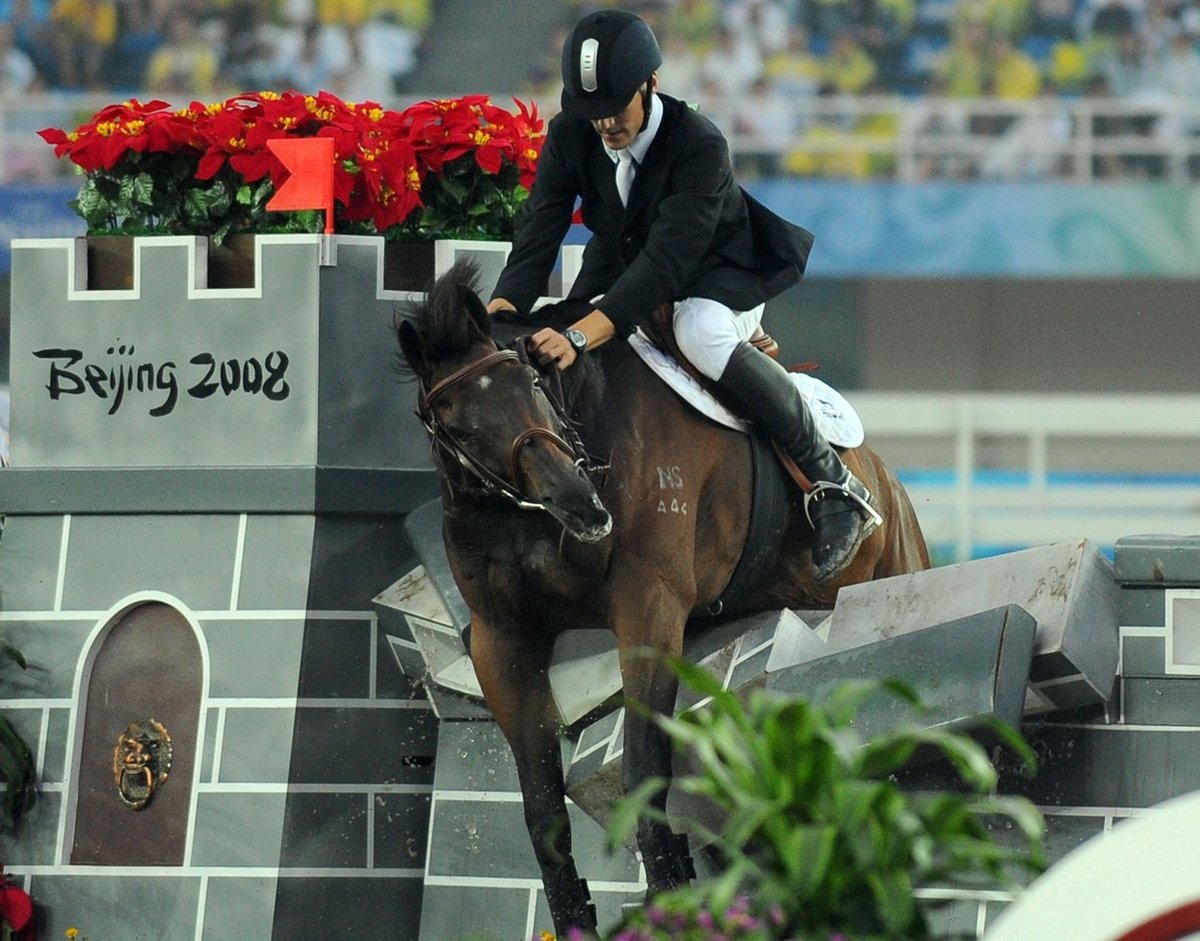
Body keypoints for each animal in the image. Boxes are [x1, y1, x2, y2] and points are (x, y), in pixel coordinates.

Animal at [398, 260, 931, 936]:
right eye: (461, 429)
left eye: (535, 387)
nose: (584, 508)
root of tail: (886, 478)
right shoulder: (504, 642)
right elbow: (543, 810)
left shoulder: (647, 612)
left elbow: (643, 769)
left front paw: (669, 897)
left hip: (887, 572)